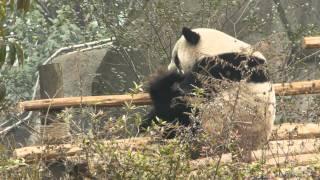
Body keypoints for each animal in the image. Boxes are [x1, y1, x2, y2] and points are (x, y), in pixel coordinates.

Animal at [142, 27, 276, 162]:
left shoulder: (219, 67)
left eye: (176, 58)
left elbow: (186, 95)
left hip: (211, 128)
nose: (170, 68)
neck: (217, 47)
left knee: (182, 117)